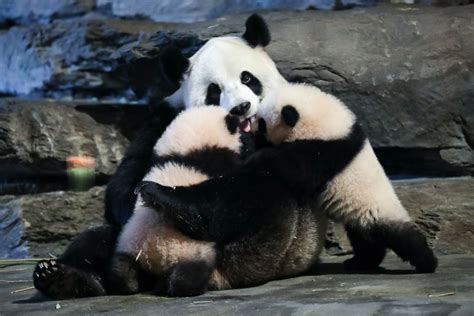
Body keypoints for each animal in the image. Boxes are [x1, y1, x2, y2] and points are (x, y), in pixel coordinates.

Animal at [106, 105, 243, 296]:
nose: (239, 116)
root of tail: (156, 255)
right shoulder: (220, 162)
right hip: (192, 251)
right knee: (187, 275)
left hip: (129, 245)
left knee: (121, 269)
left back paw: (127, 284)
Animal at [139, 82, 438, 276]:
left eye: (261, 122)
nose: (250, 128)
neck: (327, 120)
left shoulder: (326, 150)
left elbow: (291, 168)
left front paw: (258, 154)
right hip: (359, 216)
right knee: (365, 237)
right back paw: (361, 262)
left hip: (375, 205)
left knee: (403, 236)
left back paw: (427, 262)